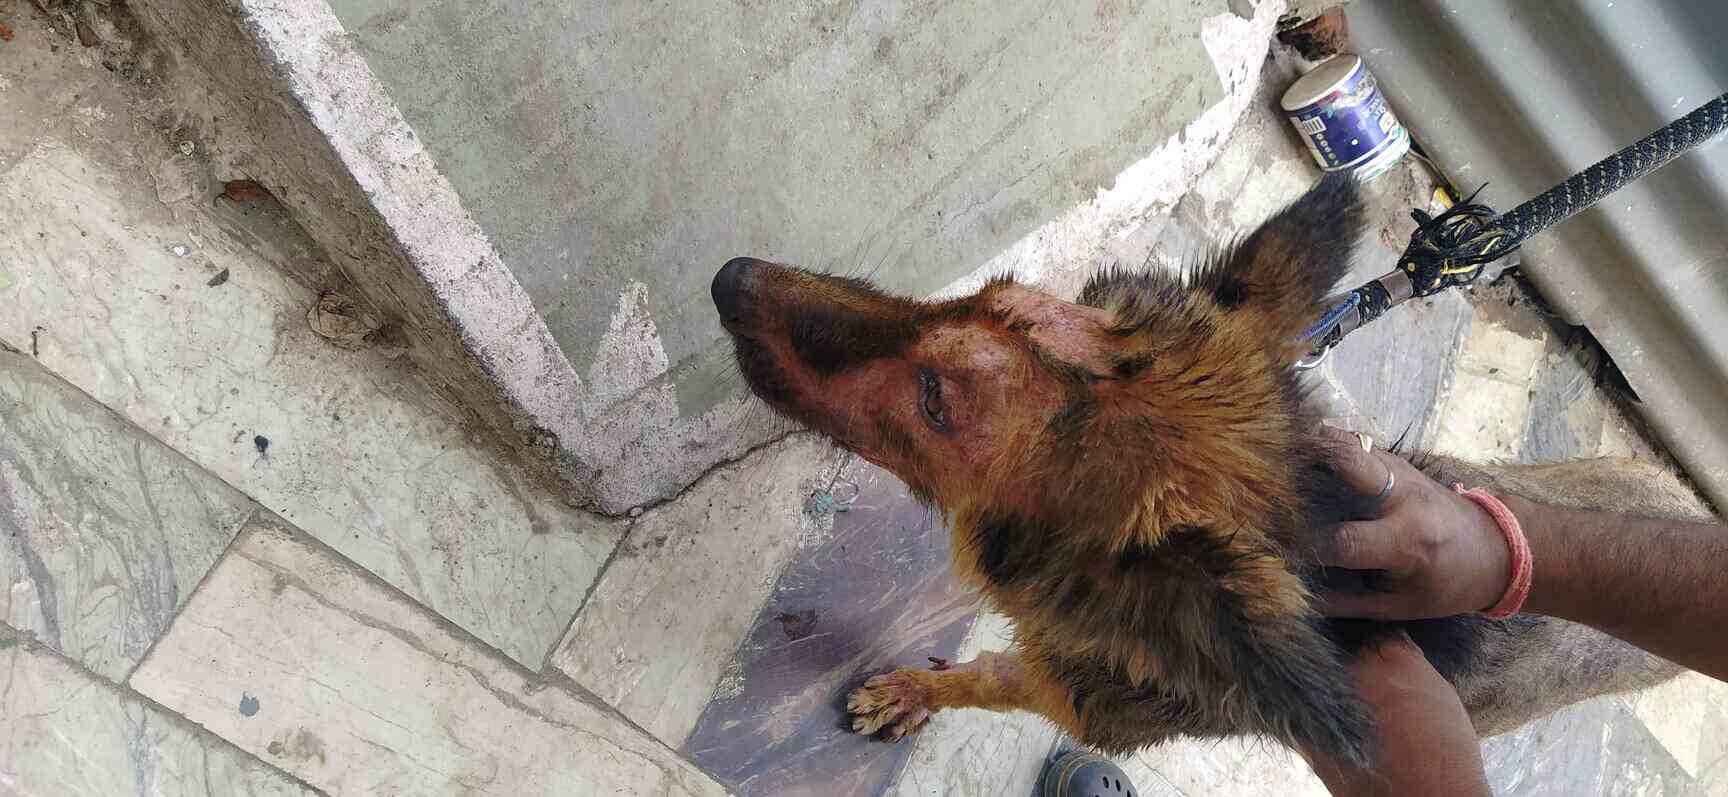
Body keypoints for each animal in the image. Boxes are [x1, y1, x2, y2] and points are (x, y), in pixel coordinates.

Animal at [710, 175, 1708, 766]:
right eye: (981, 296)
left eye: (935, 401)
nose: (732, 280)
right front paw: (914, 688)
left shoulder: (1083, 695)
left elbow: (993, 678)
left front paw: (930, 690)